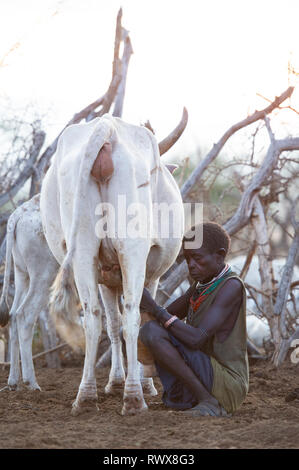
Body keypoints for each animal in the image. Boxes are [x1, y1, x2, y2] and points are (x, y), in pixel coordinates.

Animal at [41, 113, 186, 414]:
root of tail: (106, 128)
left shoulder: (105, 278)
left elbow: (112, 324)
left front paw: (115, 381)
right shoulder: (150, 275)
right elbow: (138, 320)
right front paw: (141, 383)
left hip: (83, 250)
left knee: (93, 317)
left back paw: (86, 396)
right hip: (133, 249)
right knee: (131, 316)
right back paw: (134, 397)